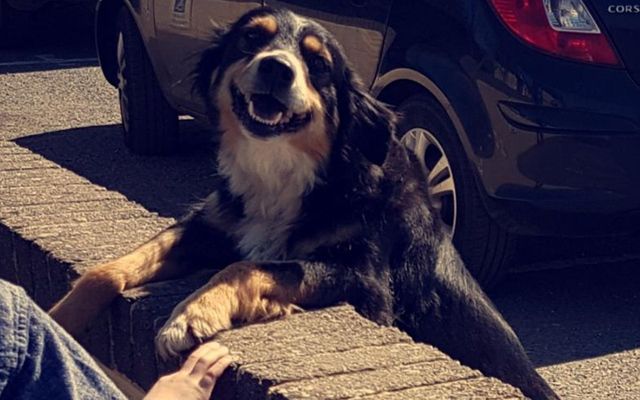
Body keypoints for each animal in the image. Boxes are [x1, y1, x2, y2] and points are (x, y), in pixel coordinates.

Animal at [50, 7, 556, 400]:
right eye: (252, 38)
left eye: (317, 62)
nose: (277, 68)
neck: (287, 172)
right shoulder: (211, 224)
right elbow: (109, 269)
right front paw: (59, 317)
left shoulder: (366, 283)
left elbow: (249, 267)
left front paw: (191, 316)